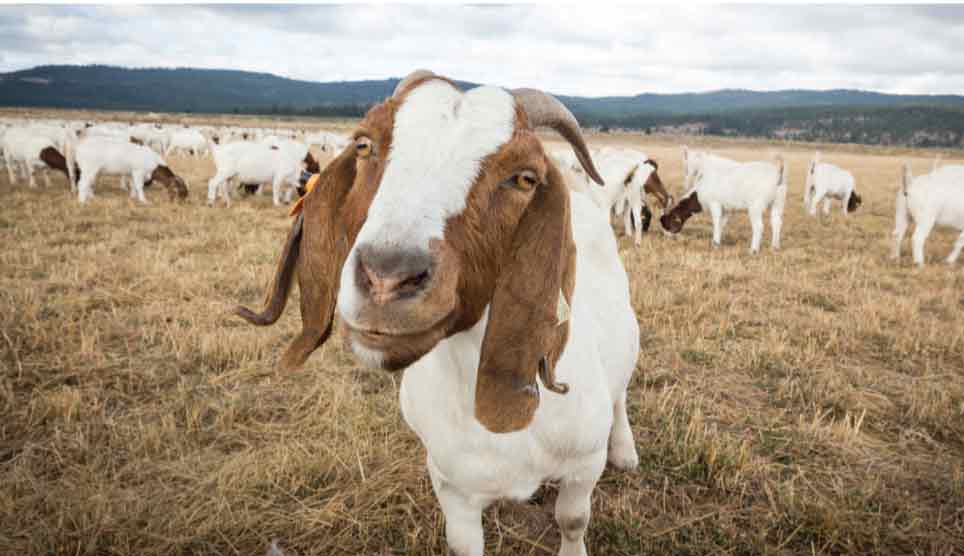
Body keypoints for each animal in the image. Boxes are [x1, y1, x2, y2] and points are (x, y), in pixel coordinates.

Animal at [664, 152, 792, 252]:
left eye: (670, 221)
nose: (668, 237)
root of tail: (778, 174)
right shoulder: (727, 209)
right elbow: (722, 223)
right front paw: (717, 243)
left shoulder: (715, 204)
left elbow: (716, 222)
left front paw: (715, 243)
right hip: (778, 203)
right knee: (776, 223)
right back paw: (774, 247)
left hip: (755, 206)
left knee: (758, 226)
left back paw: (753, 250)